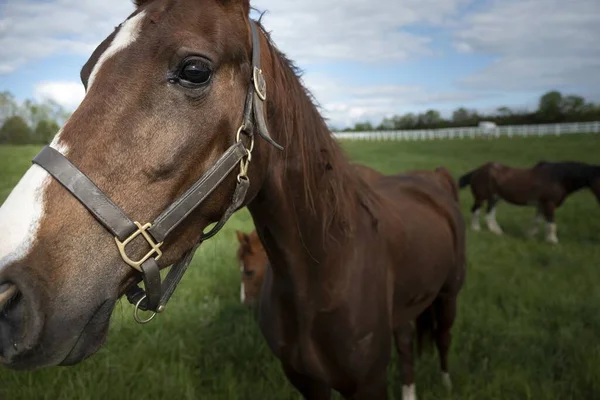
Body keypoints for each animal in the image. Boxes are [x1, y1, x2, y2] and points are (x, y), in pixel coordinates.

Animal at [0, 1, 466, 398]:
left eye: (194, 70)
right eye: (85, 75)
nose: (7, 293)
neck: (323, 275)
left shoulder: (367, 385)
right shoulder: (306, 381)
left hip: (449, 296)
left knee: (442, 338)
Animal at [460, 160, 600, 244]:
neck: (557, 178)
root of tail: (478, 170)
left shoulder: (541, 205)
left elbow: (537, 221)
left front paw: (529, 235)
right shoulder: (549, 204)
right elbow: (551, 223)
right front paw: (552, 241)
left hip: (494, 199)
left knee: (489, 215)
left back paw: (497, 231)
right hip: (481, 198)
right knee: (475, 211)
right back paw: (476, 228)